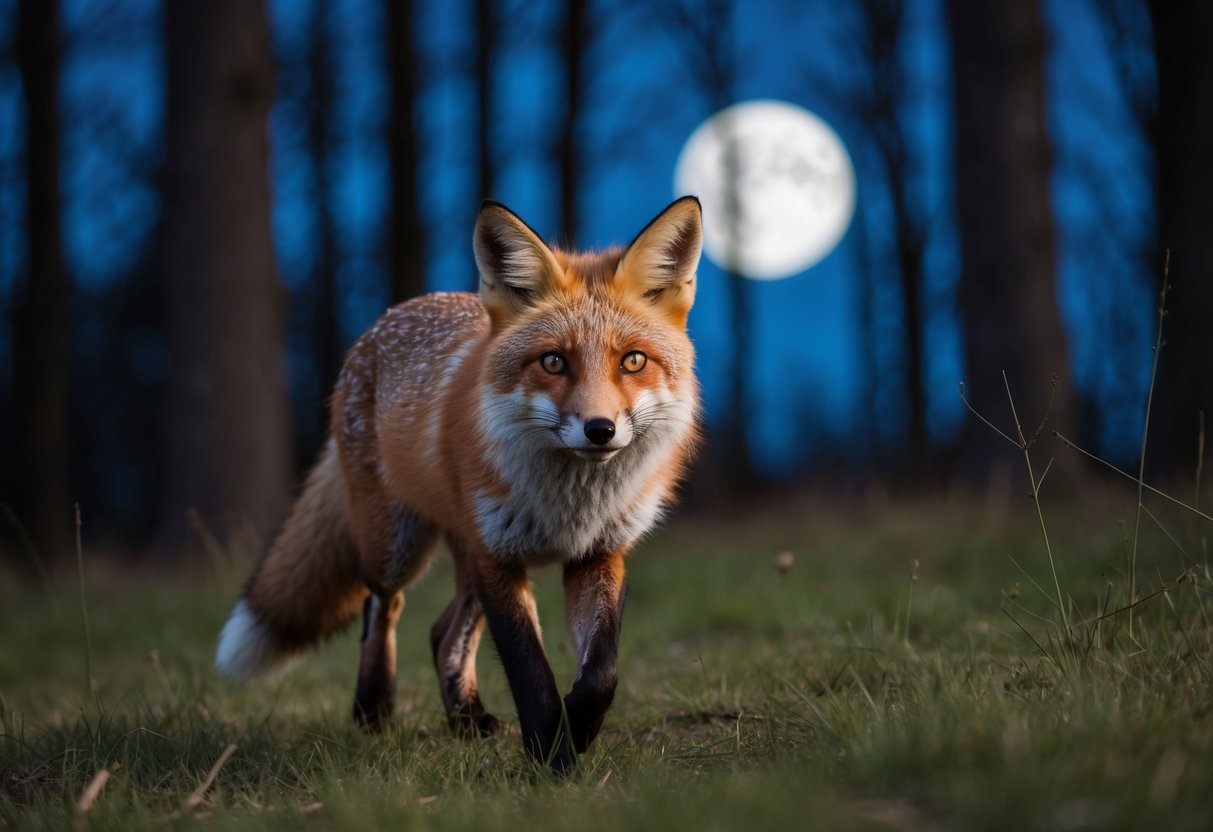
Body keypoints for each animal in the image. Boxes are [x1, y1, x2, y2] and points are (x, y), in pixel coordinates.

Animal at [215, 196, 703, 769]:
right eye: (553, 361)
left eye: (633, 361)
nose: (600, 430)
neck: (570, 506)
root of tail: (388, 318)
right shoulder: (499, 558)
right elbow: (529, 671)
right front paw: (549, 756)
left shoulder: (598, 554)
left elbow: (601, 673)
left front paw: (574, 735)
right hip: (399, 548)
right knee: (381, 606)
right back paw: (374, 707)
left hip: (468, 558)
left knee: (441, 633)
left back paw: (465, 718)